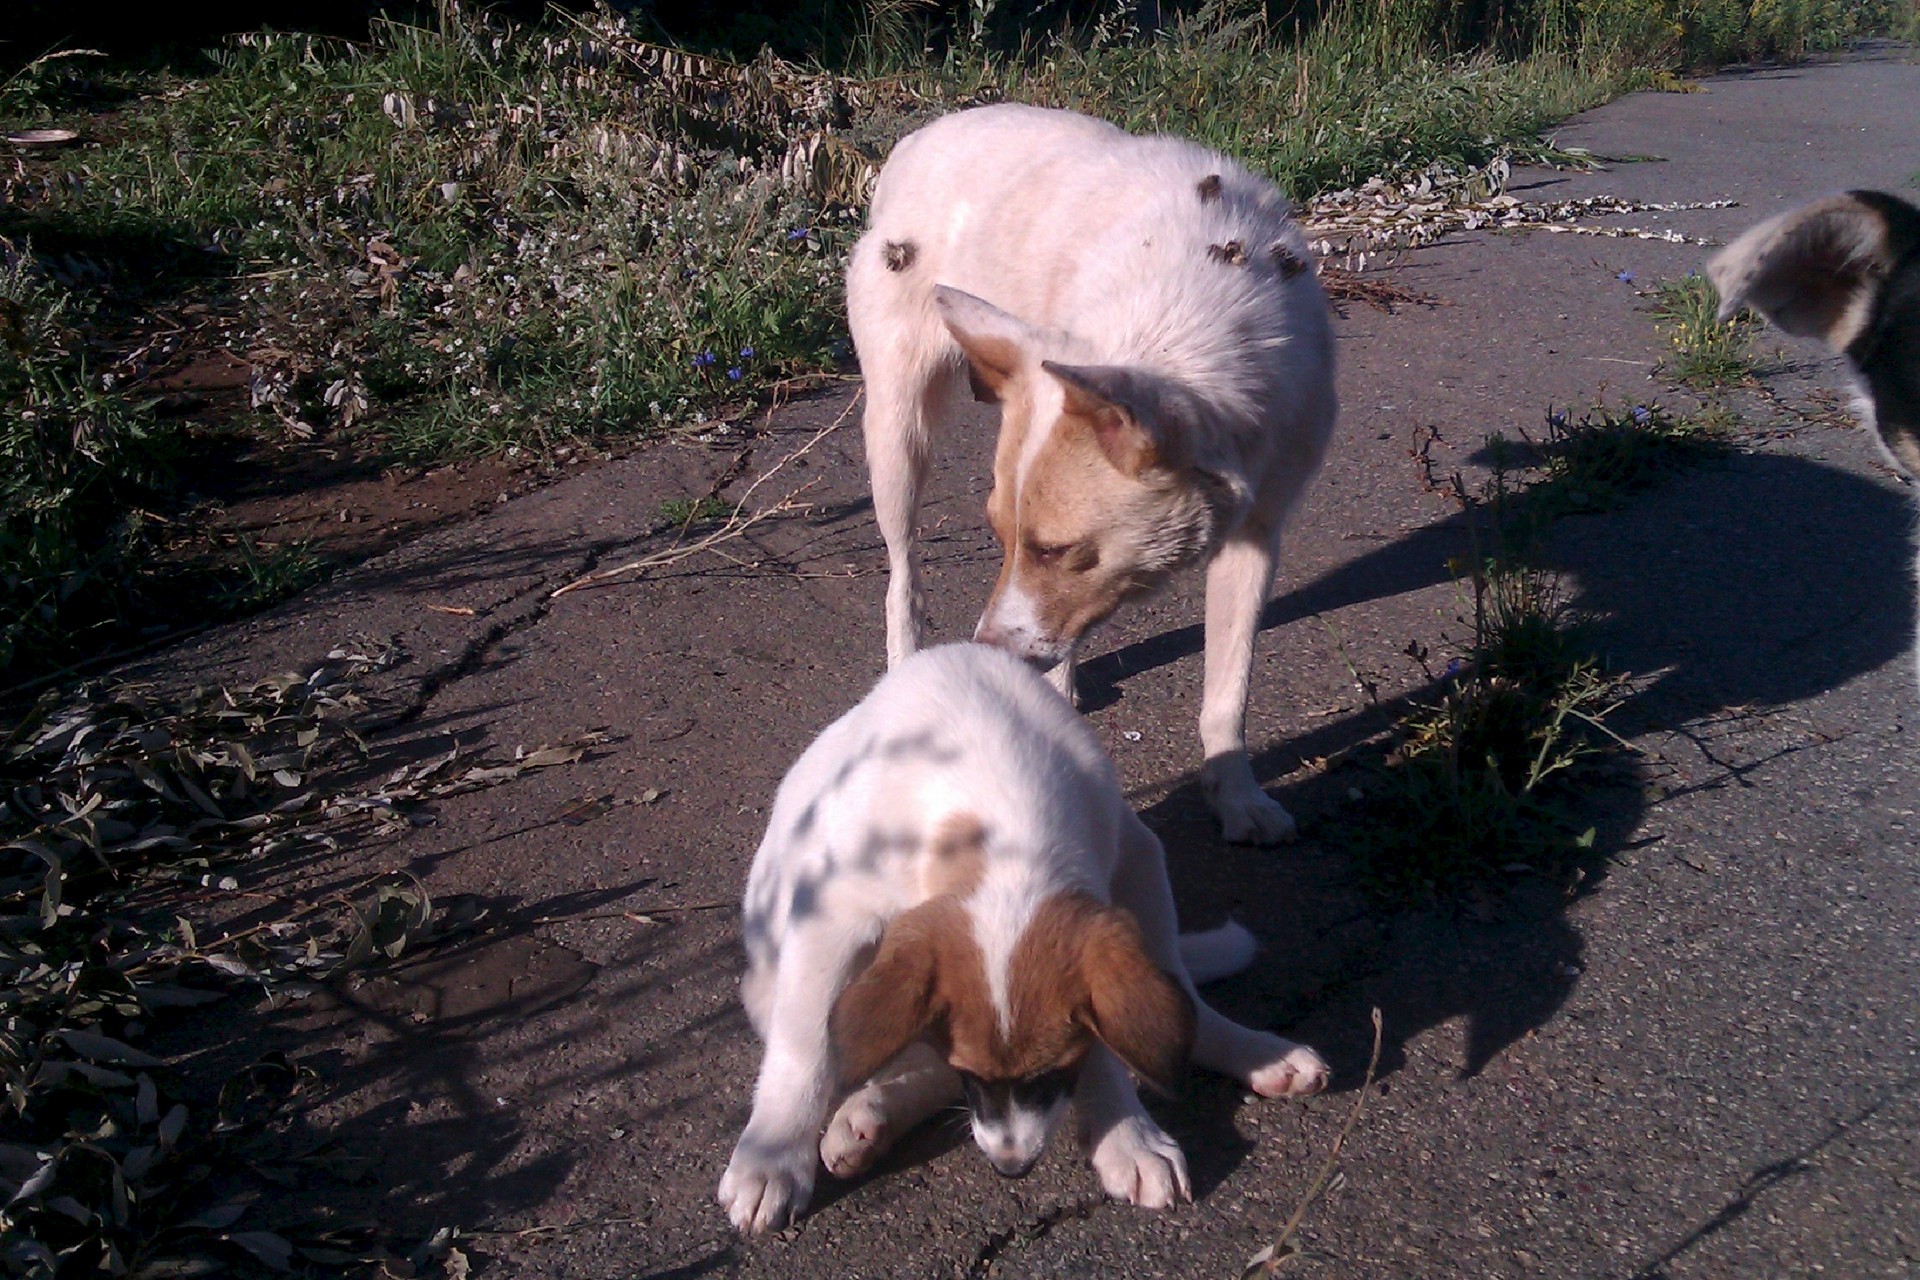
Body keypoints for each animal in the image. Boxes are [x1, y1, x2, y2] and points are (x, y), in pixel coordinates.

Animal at [717, 643, 1330, 1234]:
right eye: (975, 1075)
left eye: (1051, 1074)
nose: (1012, 1167)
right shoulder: (828, 919)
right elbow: (805, 1050)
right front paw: (771, 1159)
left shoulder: (1133, 859)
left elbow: (1114, 1028)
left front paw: (1125, 1134)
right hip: (779, 983)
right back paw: (863, 1116)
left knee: (1181, 1002)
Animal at [846, 104, 1338, 845]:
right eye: (999, 538)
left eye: (1055, 549)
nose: (990, 651)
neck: (1186, 317)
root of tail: (921, 135)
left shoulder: (1256, 535)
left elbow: (1230, 687)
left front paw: (1236, 794)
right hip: (899, 434)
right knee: (902, 576)